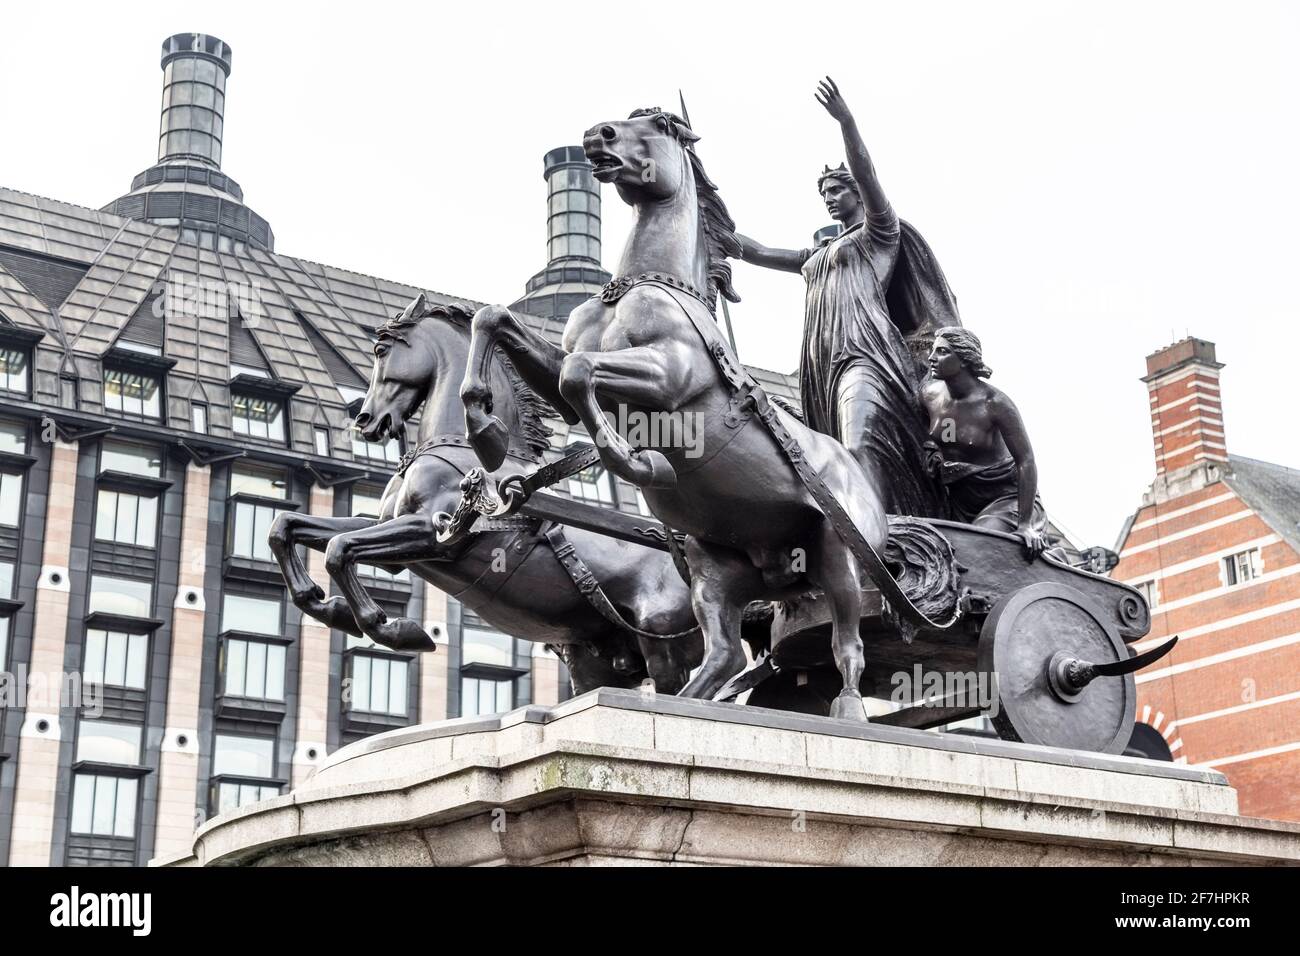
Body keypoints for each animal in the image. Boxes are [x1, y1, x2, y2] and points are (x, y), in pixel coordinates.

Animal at [267, 293, 707, 697]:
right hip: (598, 658)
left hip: (661, 641)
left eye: (381, 350)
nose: (365, 420)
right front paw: (323, 603)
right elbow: (287, 527)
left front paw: (395, 629)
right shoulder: (397, 540)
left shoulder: (433, 535)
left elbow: (339, 549)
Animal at [462, 108, 951, 723]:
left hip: (838, 555)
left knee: (848, 643)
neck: (642, 288)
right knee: (723, 655)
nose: (598, 134)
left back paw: (848, 711)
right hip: (713, 568)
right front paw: (485, 430)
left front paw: (640, 463)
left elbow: (578, 372)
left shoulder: (667, 374)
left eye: (657, 125)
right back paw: (689, 704)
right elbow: (497, 322)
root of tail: (862, 480)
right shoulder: (559, 374)